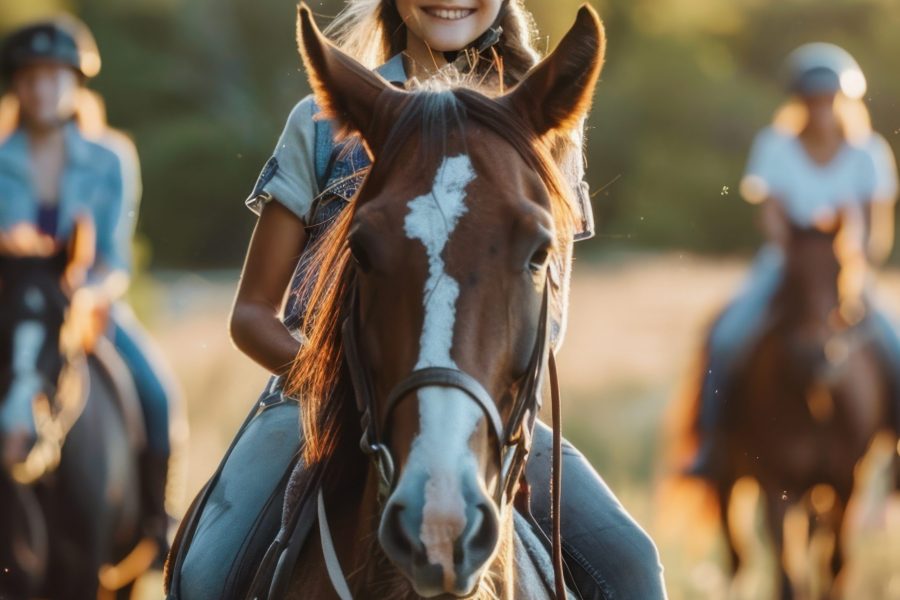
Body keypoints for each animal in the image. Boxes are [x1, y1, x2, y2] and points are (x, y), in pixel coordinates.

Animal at [674, 216, 896, 599]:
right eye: (791, 275)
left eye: (843, 269)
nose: (815, 355)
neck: (814, 401)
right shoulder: (777, 483)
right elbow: (787, 574)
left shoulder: (846, 481)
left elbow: (834, 564)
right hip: (729, 479)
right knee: (738, 556)